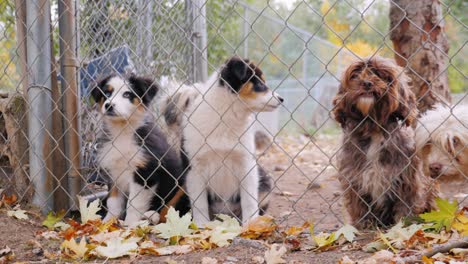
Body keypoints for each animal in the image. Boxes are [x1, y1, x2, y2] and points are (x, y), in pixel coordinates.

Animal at [91, 75, 188, 227]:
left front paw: (130, 225)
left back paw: (152, 216)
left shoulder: (145, 173)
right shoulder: (113, 173)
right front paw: (107, 223)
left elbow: (134, 203)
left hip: (182, 186)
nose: (109, 105)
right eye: (107, 93)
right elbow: (113, 202)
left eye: (127, 94)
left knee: (171, 211)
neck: (122, 131)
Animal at [182, 57, 286, 225]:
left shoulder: (247, 164)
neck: (226, 117)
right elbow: (199, 203)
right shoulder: (194, 169)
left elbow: (249, 201)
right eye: (259, 83)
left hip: (265, 181)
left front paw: (251, 225)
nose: (281, 99)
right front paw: (201, 226)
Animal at [330, 57, 436, 229]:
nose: (366, 82)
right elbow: (360, 206)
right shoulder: (354, 179)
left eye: (381, 75)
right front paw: (363, 225)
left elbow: (406, 205)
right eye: (355, 75)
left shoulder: (407, 179)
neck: (374, 127)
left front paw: (404, 224)